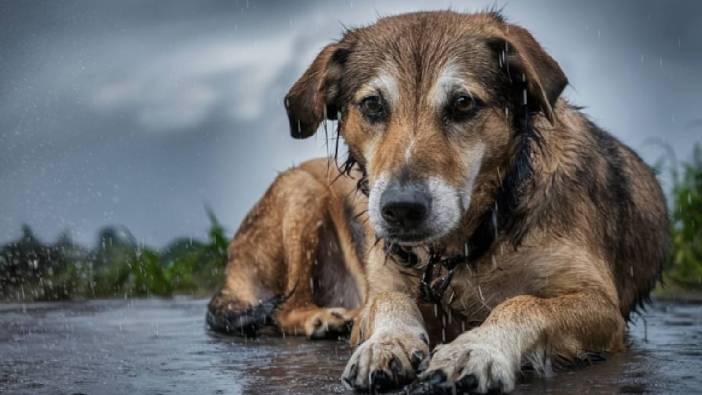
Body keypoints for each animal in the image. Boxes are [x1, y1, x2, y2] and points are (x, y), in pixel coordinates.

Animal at [206, 10, 668, 394]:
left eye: (462, 103)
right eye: (372, 104)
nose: (401, 210)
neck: (469, 239)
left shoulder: (603, 308)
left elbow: (523, 303)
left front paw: (477, 348)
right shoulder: (385, 282)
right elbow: (388, 301)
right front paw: (386, 343)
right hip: (300, 187)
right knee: (285, 306)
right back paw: (324, 318)